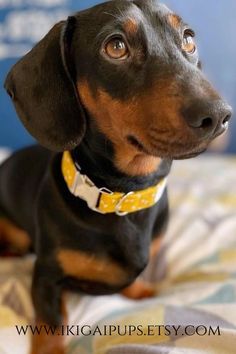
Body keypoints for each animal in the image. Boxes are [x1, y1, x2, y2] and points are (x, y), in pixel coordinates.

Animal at [0, 0, 232, 352]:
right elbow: (50, 322)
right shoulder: (45, 276)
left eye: (189, 38)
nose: (219, 115)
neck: (124, 194)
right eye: (116, 47)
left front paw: (143, 292)